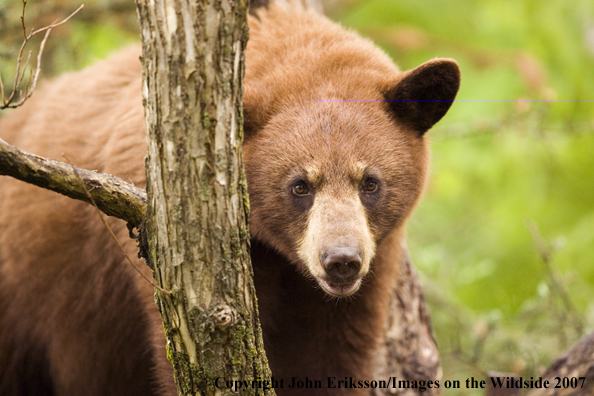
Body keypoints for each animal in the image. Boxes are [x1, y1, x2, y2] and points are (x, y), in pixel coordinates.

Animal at [0, 0, 458, 396]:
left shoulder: (363, 285)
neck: (283, 262)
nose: (341, 259)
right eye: (299, 185)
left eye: (371, 182)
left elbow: (332, 359)